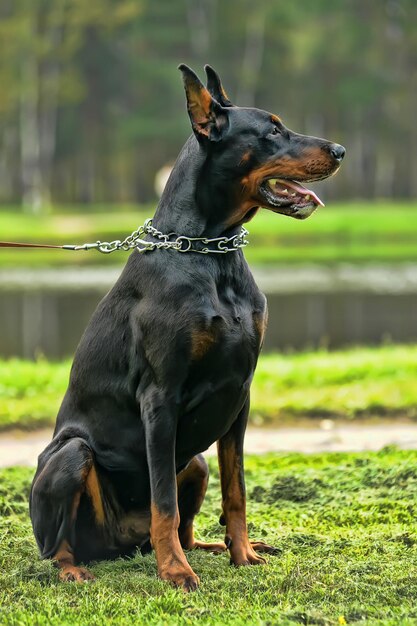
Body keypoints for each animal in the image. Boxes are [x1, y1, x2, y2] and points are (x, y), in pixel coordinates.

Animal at [28, 63, 342, 588]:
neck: (210, 254)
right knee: (58, 545)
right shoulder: (160, 396)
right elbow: (163, 501)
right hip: (71, 455)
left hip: (194, 460)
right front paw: (175, 572)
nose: (339, 150)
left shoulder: (240, 394)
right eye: (272, 131)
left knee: (190, 522)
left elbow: (236, 491)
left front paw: (243, 555)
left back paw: (216, 548)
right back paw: (78, 570)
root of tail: (119, 546)